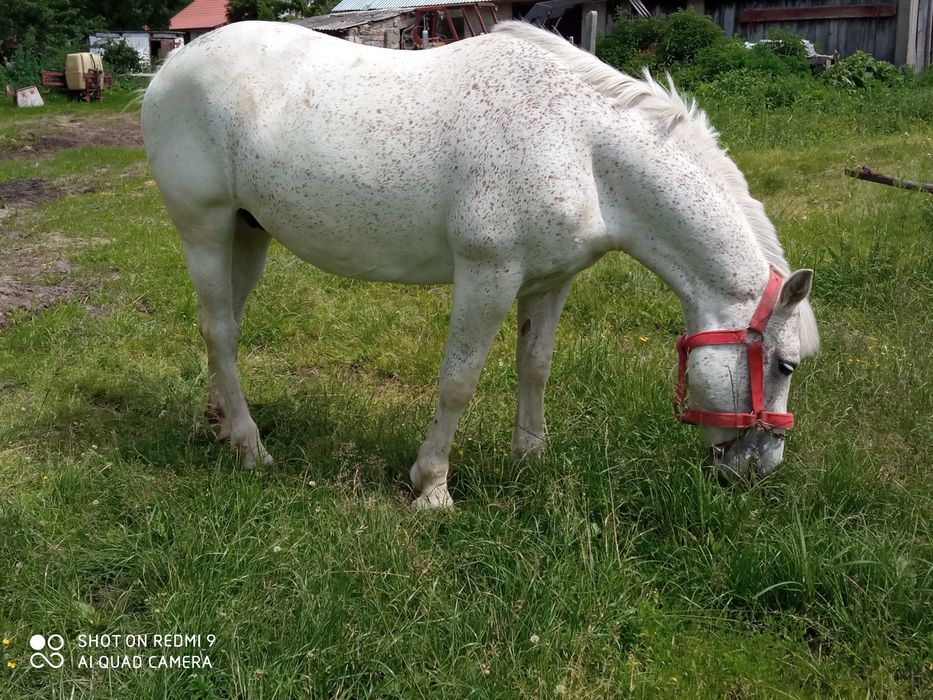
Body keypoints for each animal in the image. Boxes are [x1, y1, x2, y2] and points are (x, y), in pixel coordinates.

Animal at [140, 17, 816, 508]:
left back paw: (223, 425)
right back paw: (251, 447)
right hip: (204, 227)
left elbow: (535, 367)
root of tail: (172, 65)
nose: (759, 469)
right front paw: (432, 486)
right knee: (219, 329)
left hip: (247, 233)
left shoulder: (551, 283)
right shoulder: (488, 276)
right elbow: (459, 379)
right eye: (784, 365)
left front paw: (531, 458)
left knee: (226, 326)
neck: (582, 147)